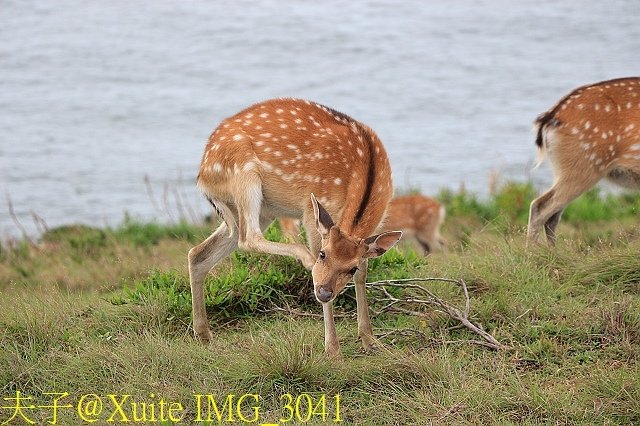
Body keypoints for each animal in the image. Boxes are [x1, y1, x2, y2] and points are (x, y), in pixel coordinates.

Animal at [188, 98, 402, 358]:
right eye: (324, 255)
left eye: (350, 268)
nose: (323, 292)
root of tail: (202, 174)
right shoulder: (312, 212)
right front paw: (333, 350)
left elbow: (364, 273)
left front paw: (370, 340)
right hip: (244, 176)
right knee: (249, 238)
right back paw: (303, 257)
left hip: (259, 209)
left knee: (199, 253)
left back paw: (203, 334)